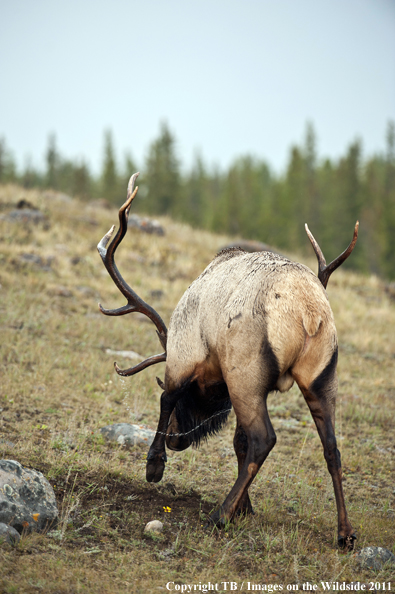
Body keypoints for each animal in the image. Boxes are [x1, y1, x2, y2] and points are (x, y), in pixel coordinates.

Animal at [98, 173, 358, 548]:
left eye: (190, 405)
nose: (178, 439)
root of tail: (307, 310)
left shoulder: (184, 354)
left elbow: (166, 398)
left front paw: (154, 466)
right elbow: (238, 441)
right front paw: (245, 507)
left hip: (245, 372)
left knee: (265, 439)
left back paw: (218, 516)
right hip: (321, 375)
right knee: (331, 447)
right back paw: (345, 533)